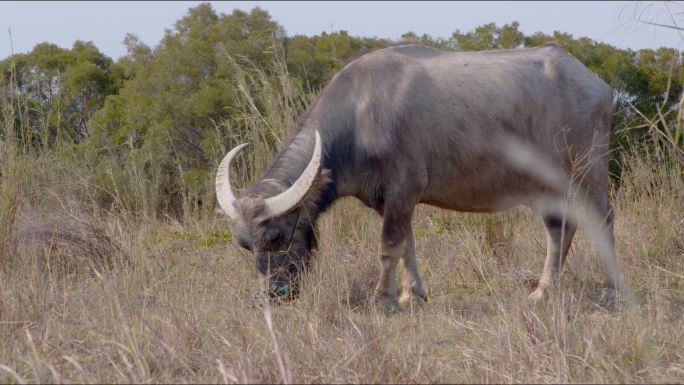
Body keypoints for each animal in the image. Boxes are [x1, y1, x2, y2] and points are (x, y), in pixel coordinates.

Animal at [215, 42, 624, 306]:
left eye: (276, 236)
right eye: (244, 243)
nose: (271, 296)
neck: (359, 118)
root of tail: (597, 85)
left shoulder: (401, 191)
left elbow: (388, 247)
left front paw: (384, 298)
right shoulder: (392, 201)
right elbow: (408, 245)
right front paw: (414, 294)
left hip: (587, 168)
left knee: (602, 217)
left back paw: (610, 292)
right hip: (545, 185)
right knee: (560, 227)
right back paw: (543, 290)